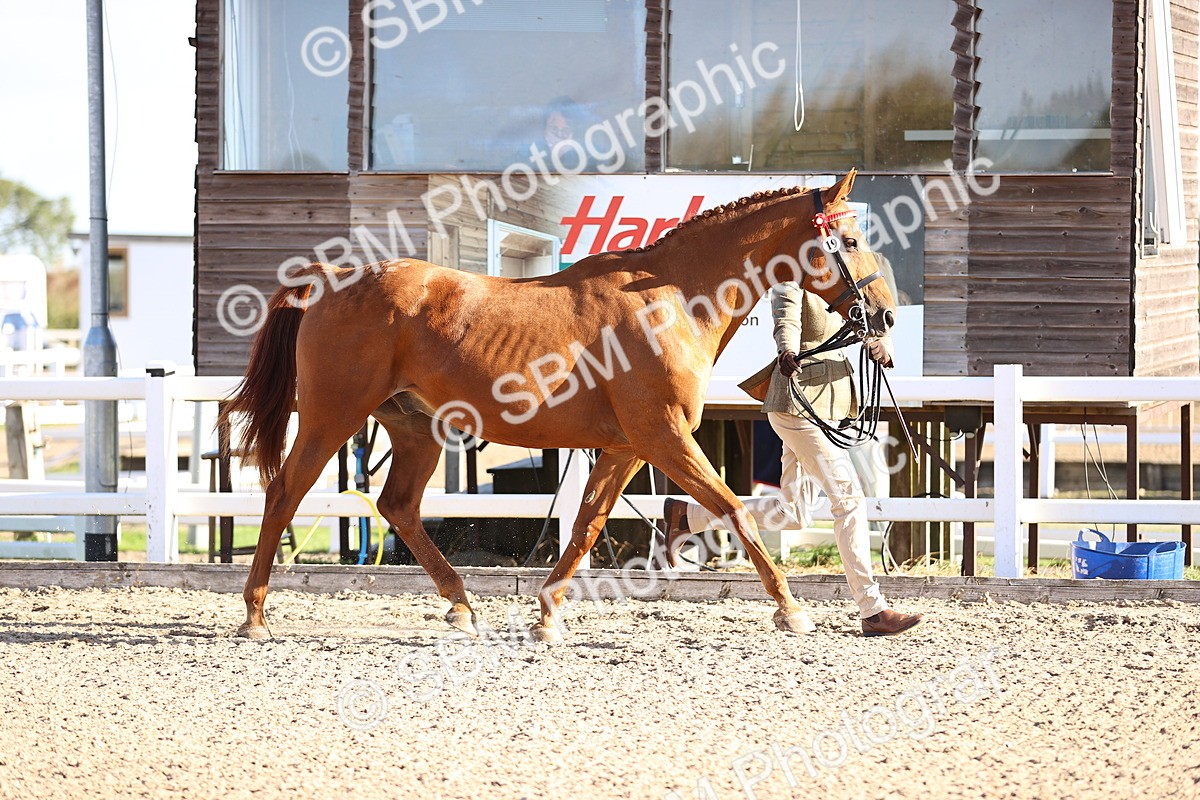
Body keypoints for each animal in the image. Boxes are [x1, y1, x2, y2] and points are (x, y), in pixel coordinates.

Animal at [220, 168, 896, 641]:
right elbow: (736, 510)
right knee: (284, 494)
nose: (885, 317)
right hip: (331, 417)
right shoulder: (664, 437)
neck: (674, 298)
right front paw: (792, 611)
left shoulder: (626, 448)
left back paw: (461, 605)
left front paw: (546, 616)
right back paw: (255, 616)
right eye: (850, 239)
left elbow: (587, 525)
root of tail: (329, 280)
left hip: (414, 427)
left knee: (399, 507)